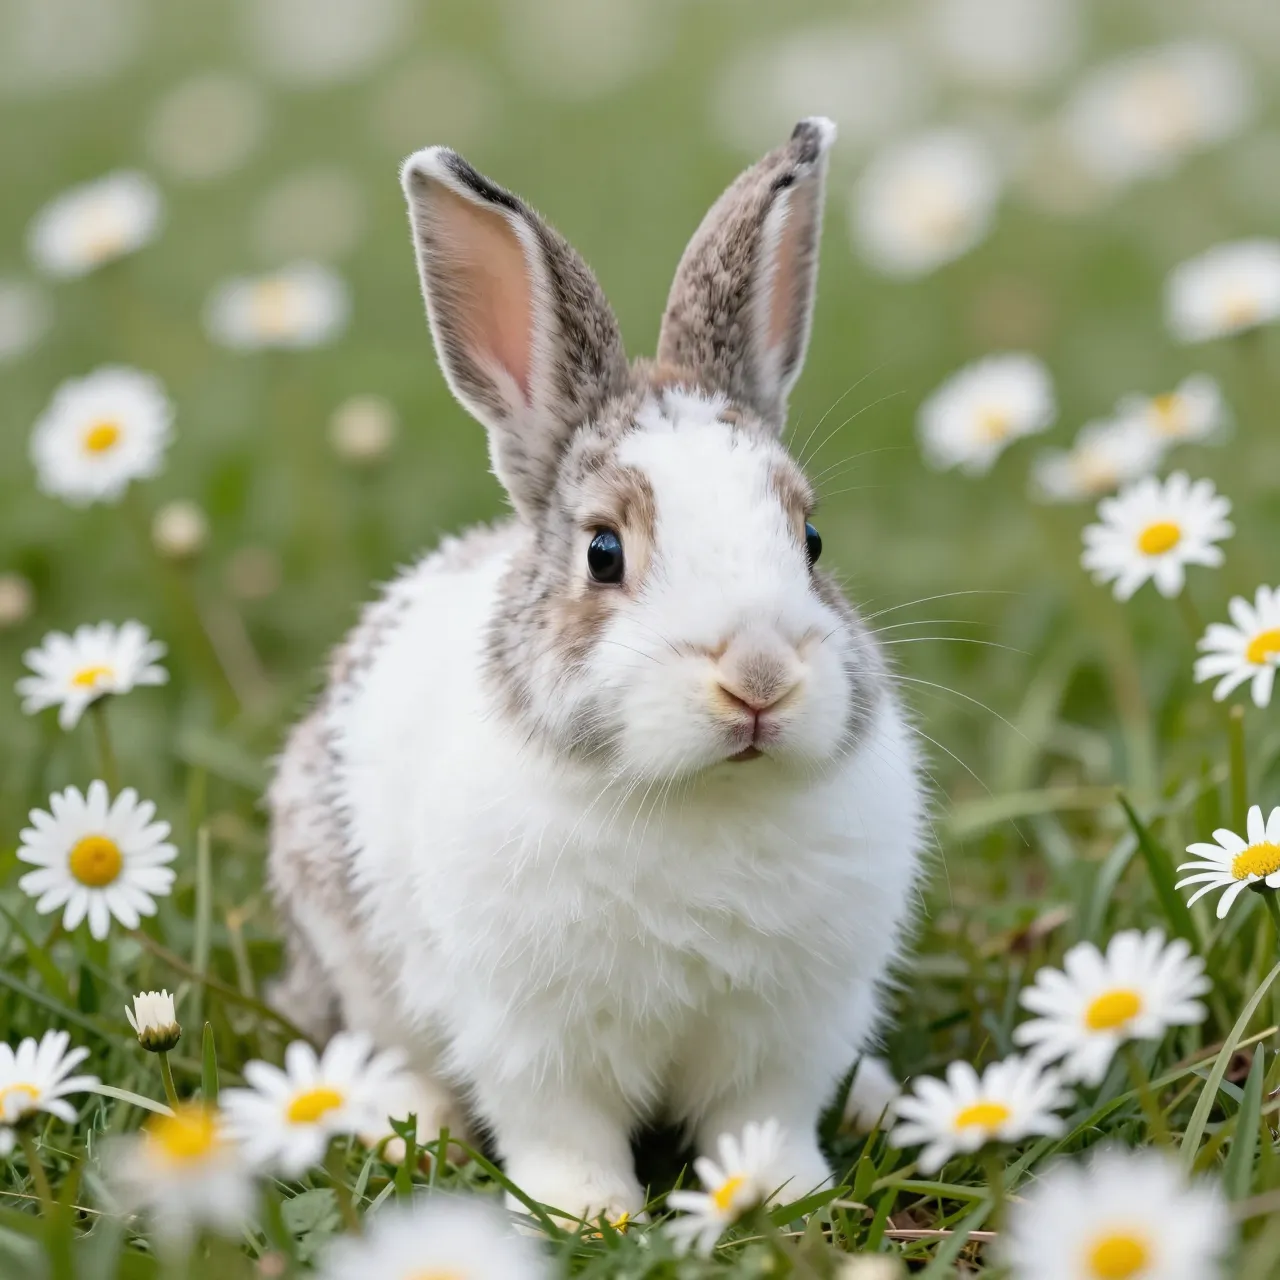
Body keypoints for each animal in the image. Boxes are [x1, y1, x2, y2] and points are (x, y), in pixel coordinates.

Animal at [266, 116, 926, 1222]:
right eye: (603, 552)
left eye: (811, 541)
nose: (757, 676)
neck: (698, 796)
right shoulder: (532, 1035)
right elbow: (561, 1128)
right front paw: (589, 1213)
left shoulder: (788, 1028)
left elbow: (764, 1115)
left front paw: (778, 1194)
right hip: (351, 951)